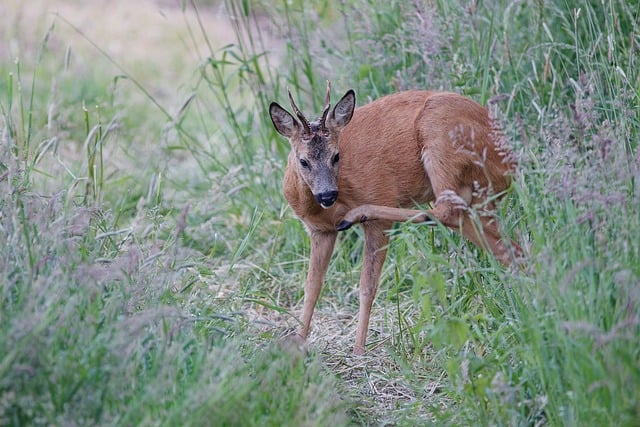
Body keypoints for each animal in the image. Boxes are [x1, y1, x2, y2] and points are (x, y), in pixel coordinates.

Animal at [268, 82, 524, 356]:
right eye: (303, 161)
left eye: (337, 156)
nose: (327, 194)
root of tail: (510, 161)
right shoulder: (319, 230)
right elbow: (312, 286)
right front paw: (297, 341)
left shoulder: (378, 206)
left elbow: (367, 287)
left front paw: (358, 350)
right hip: (479, 199)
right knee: (507, 247)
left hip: (439, 139)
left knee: (447, 210)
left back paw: (357, 214)